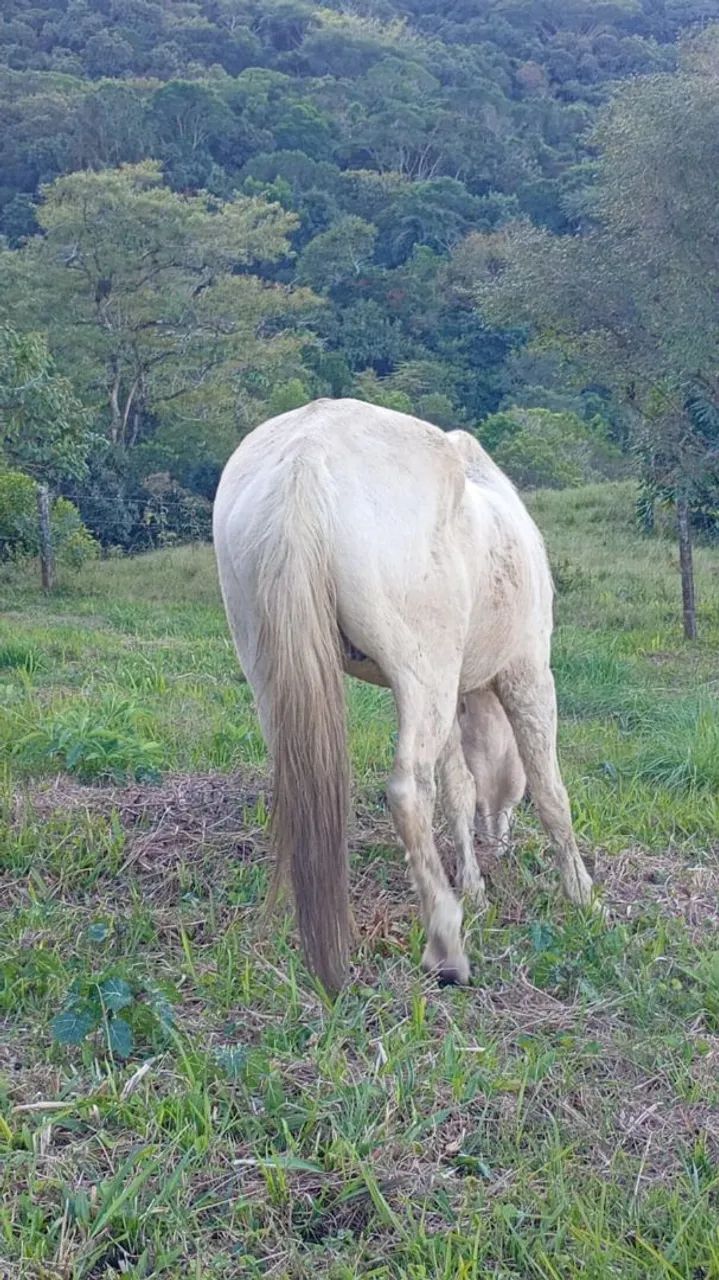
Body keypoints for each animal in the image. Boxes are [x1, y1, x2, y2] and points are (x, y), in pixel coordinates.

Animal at [213, 398, 593, 992]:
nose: (500, 836)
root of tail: (307, 455)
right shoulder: (527, 674)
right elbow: (551, 792)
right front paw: (581, 894)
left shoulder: (454, 694)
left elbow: (459, 789)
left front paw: (475, 885)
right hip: (423, 676)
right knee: (410, 789)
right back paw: (446, 945)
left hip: (276, 670)